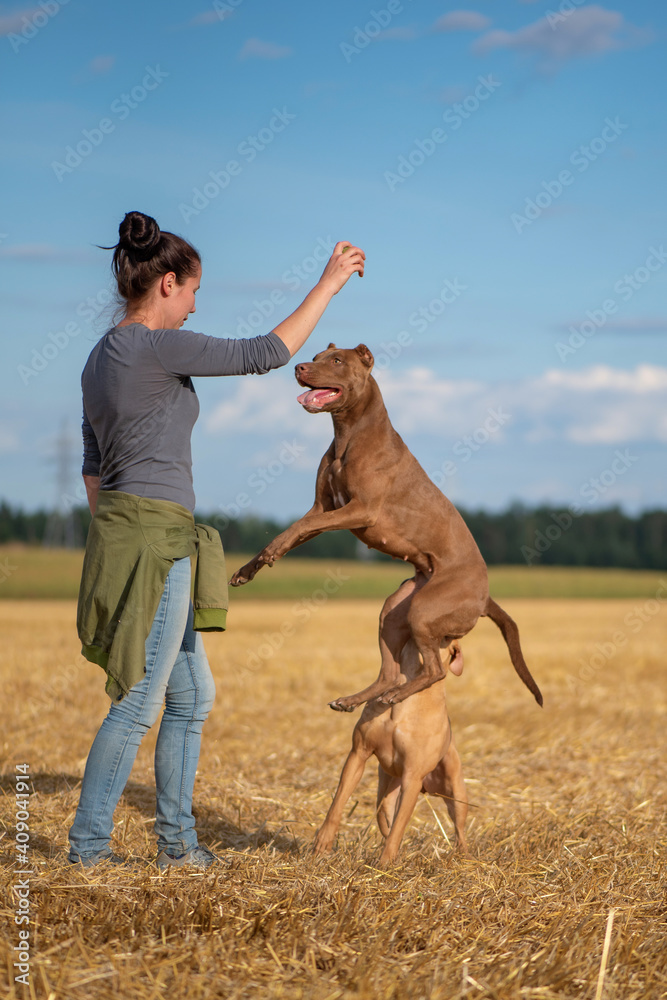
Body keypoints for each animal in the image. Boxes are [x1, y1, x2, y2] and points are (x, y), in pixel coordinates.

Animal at [230, 342, 544, 712]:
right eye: (317, 356)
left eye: (336, 360)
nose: (299, 367)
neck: (348, 434)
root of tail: (486, 597)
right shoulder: (324, 507)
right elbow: (300, 526)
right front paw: (247, 570)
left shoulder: (359, 509)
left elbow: (297, 528)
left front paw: (272, 551)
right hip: (394, 612)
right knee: (390, 673)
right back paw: (353, 700)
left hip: (425, 609)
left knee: (433, 670)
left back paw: (396, 696)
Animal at [314, 640, 468, 868]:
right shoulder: (358, 754)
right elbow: (338, 802)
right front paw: (323, 841)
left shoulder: (412, 777)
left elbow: (398, 828)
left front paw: (384, 863)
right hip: (386, 797)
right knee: (386, 821)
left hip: (455, 791)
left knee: (459, 830)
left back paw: (463, 856)